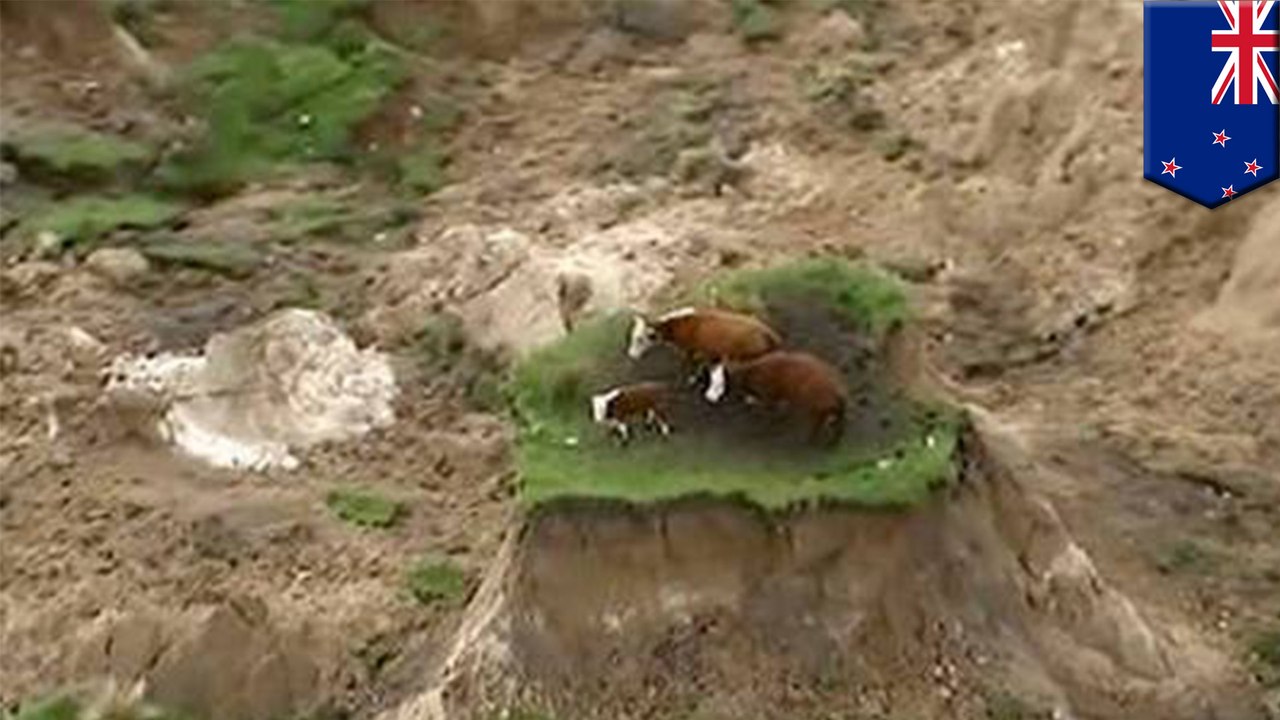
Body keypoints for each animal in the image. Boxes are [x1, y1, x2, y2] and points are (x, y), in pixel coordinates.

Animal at [705, 351, 847, 446]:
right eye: (712, 379)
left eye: (721, 383)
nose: (710, 397)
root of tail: (837, 388)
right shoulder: (776, 396)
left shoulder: (768, 397)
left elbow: (768, 412)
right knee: (838, 425)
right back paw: (832, 443)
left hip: (817, 410)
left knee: (818, 426)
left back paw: (810, 441)